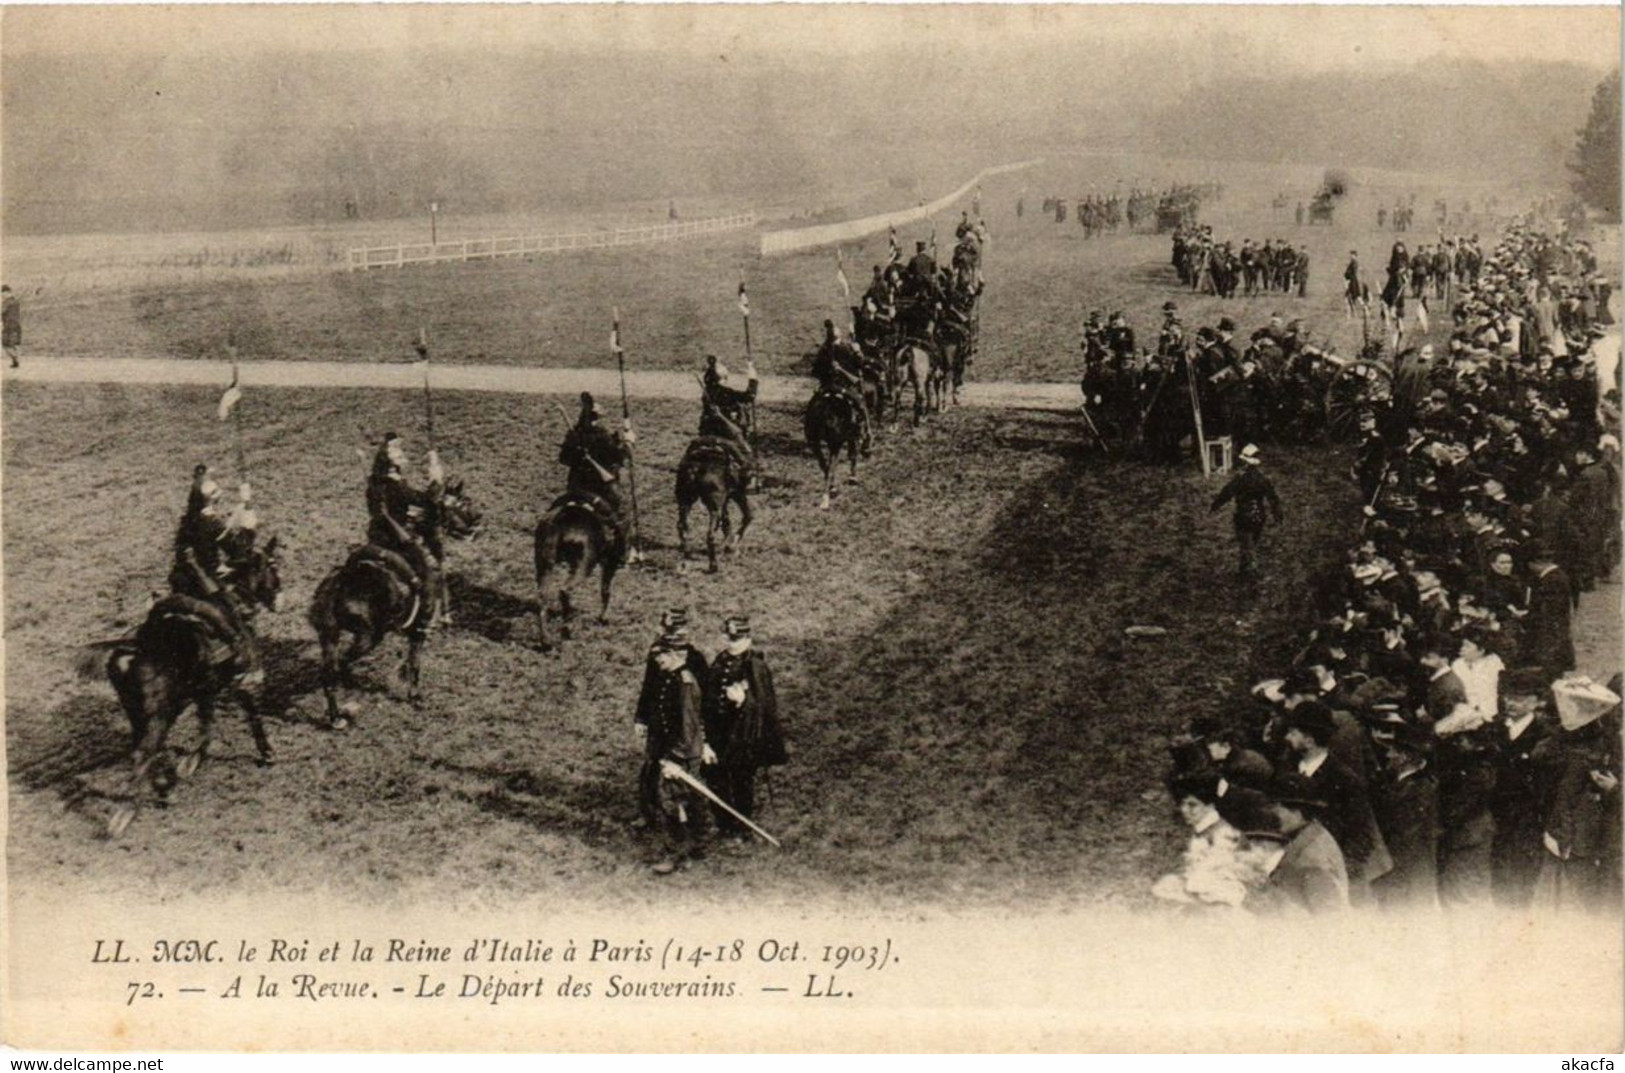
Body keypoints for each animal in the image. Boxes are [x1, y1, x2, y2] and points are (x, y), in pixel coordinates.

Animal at [75, 536, 286, 838]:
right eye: (273, 564)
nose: (280, 597)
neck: (232, 600)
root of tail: (135, 647)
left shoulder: (204, 689)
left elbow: (206, 722)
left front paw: (192, 760)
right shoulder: (236, 681)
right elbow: (250, 713)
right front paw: (267, 752)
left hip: (140, 715)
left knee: (145, 751)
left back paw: (163, 790)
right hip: (158, 717)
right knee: (143, 753)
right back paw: (127, 813)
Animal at [305, 477, 477, 728]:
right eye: (463, 503)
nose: (476, 522)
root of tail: (343, 581)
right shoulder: (418, 629)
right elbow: (414, 663)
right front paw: (415, 696)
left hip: (329, 635)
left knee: (330, 673)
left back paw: (336, 716)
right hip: (367, 637)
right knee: (341, 664)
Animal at [539, 490, 627, 647]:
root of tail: (561, 518)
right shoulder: (610, 564)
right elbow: (606, 592)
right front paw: (602, 618)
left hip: (545, 565)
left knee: (543, 597)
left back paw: (546, 639)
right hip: (584, 565)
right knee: (565, 591)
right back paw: (567, 630)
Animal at [672, 438, 754, 575]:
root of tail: (696, 468)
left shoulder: (725, 501)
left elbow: (727, 523)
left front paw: (728, 545)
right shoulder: (738, 494)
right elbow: (748, 516)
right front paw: (732, 544)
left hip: (685, 502)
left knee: (681, 526)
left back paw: (687, 555)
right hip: (714, 508)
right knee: (710, 535)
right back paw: (713, 565)